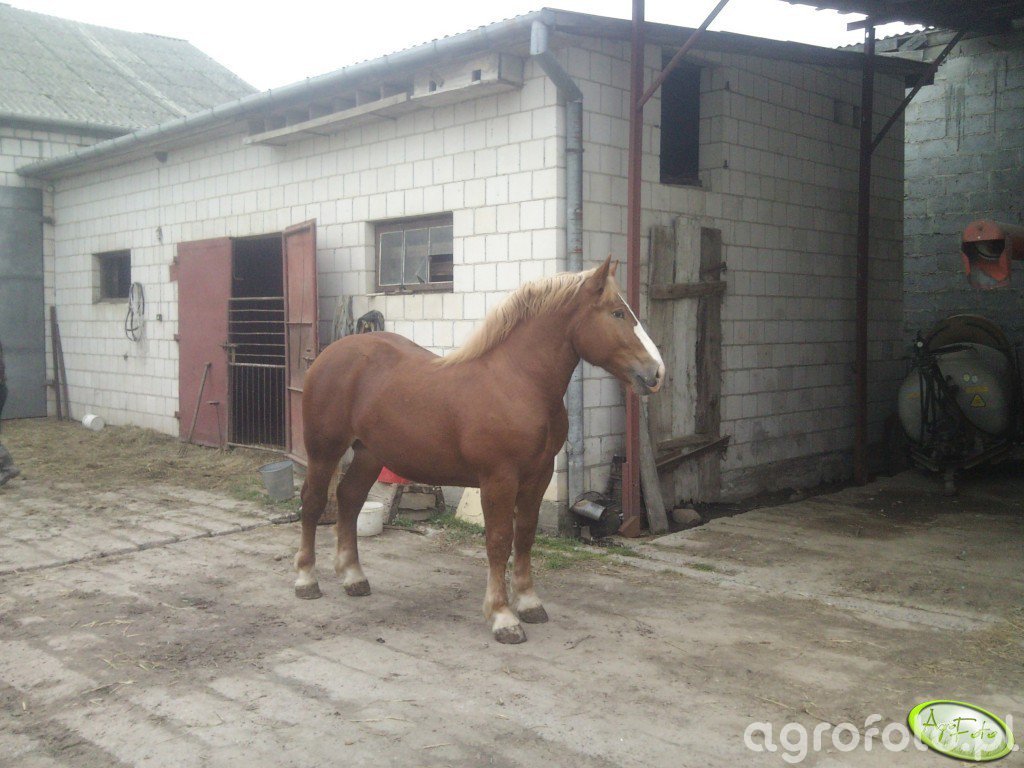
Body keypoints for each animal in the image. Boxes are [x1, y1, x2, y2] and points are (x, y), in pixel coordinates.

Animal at [294, 256, 664, 644]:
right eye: (617, 313)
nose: (656, 373)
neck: (518, 381)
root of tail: (329, 355)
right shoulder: (499, 479)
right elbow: (499, 540)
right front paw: (503, 616)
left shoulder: (539, 474)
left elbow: (525, 535)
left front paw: (528, 602)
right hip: (324, 450)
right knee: (314, 502)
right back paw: (306, 579)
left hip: (369, 453)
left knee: (349, 498)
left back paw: (353, 577)